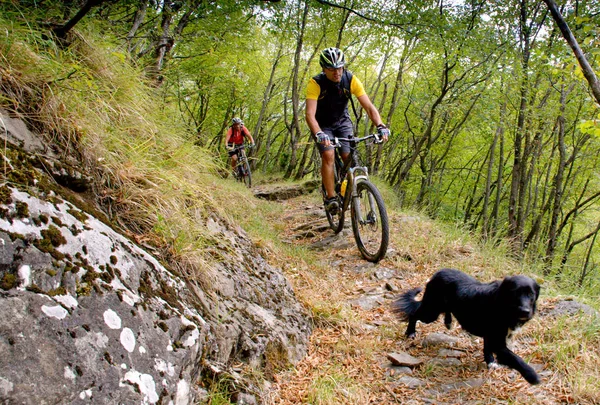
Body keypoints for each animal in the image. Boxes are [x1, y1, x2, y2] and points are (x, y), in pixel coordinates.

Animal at [392, 268, 540, 382]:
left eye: (531, 294)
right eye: (515, 293)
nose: (525, 311)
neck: (503, 305)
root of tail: (437, 273)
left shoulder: (490, 335)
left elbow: (487, 348)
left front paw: (490, 362)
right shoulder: (497, 341)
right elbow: (515, 358)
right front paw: (531, 375)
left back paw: (448, 322)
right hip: (430, 312)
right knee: (414, 315)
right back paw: (410, 332)